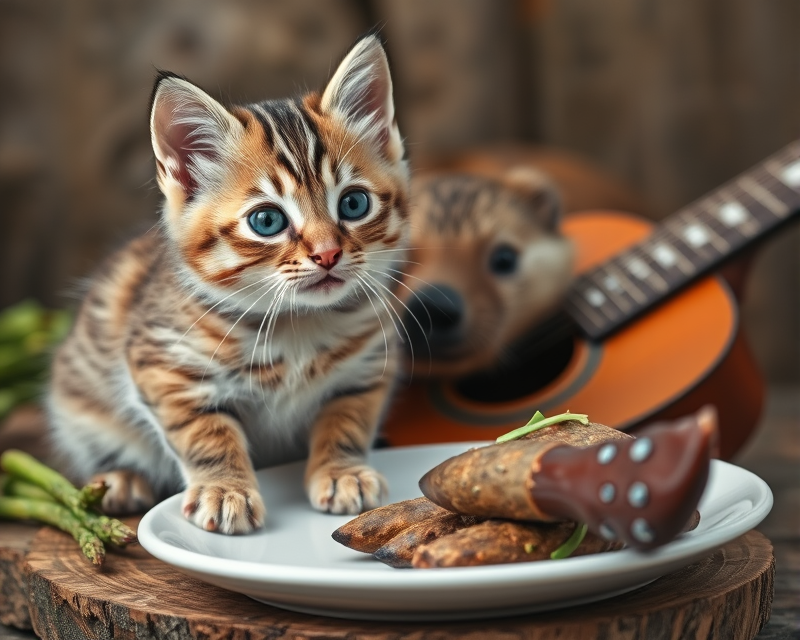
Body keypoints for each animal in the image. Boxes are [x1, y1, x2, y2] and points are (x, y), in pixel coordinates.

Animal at [46, 36, 410, 536]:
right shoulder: (164, 366)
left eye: (354, 204)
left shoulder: (367, 365)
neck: (296, 324)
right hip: (81, 407)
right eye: (267, 221)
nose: (328, 254)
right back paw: (122, 477)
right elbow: (205, 432)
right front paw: (224, 490)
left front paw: (343, 471)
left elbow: (348, 418)